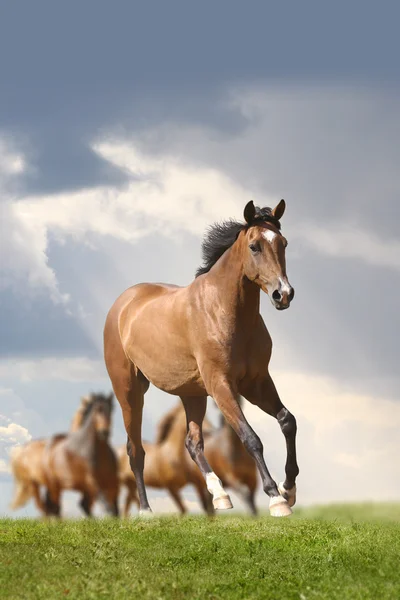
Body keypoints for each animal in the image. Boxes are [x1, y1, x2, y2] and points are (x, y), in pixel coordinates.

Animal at [104, 200, 298, 516]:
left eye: (283, 243)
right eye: (254, 246)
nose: (283, 294)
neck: (224, 311)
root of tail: (122, 304)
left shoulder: (256, 382)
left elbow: (287, 421)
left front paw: (288, 489)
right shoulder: (221, 385)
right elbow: (251, 438)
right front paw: (276, 498)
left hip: (192, 394)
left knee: (192, 443)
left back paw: (220, 495)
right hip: (130, 392)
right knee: (136, 450)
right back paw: (145, 511)